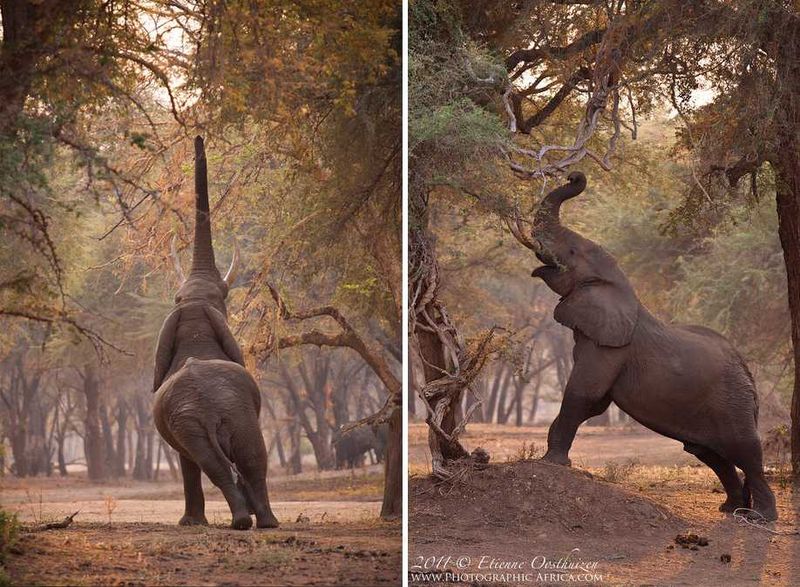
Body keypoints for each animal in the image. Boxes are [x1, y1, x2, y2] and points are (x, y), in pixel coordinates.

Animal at [152, 136, 279, 530]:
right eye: (223, 297)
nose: (198, 138)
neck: (194, 309)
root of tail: (211, 409)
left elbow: (189, 463)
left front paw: (191, 524)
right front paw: (192, 524)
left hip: (212, 418)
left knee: (231, 462)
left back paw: (252, 521)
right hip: (209, 418)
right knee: (241, 462)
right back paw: (257, 522)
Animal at [511, 171, 777, 522]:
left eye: (570, 252)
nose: (575, 175)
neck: (620, 285)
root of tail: (747, 371)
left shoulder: (611, 347)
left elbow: (585, 394)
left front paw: (552, 462)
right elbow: (595, 403)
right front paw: (552, 457)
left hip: (733, 401)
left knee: (745, 451)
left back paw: (758, 518)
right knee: (708, 452)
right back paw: (730, 509)